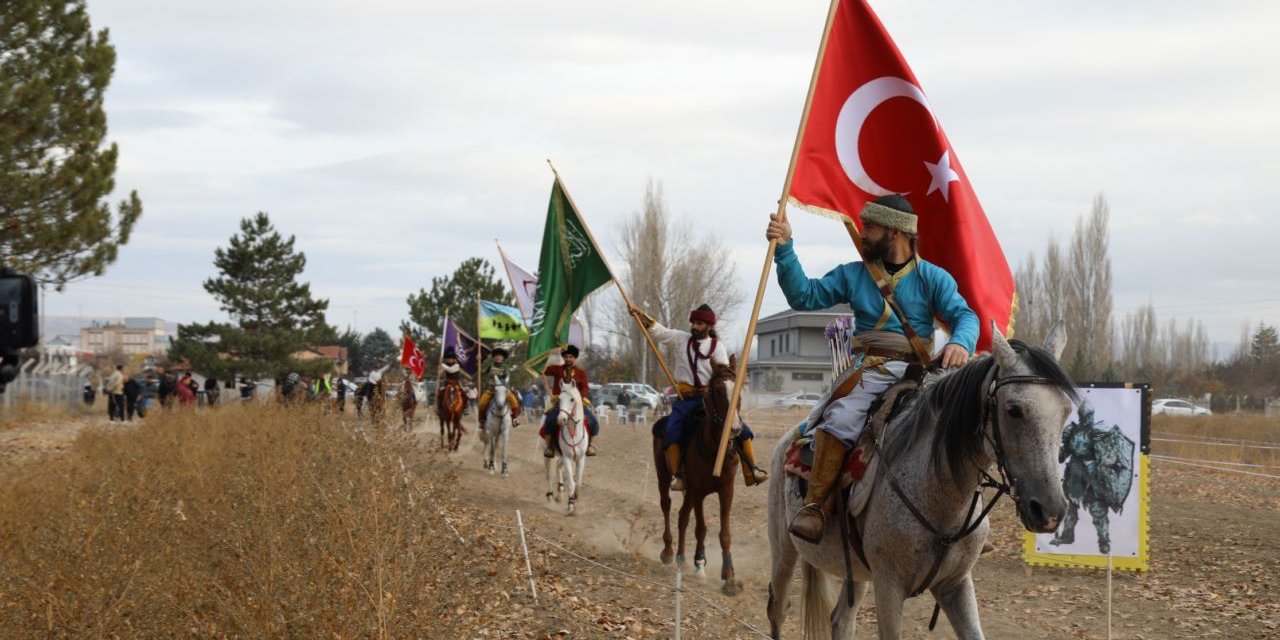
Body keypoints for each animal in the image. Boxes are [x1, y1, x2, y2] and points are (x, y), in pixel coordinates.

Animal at [542, 384, 591, 514]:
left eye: (572, 399)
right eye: (559, 399)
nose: (561, 419)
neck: (573, 433)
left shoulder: (580, 458)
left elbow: (578, 482)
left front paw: (575, 497)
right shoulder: (568, 458)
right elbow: (571, 482)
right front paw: (570, 505)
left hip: (562, 457)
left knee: (558, 466)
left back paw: (559, 493)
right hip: (548, 455)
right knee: (548, 474)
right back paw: (550, 497)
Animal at [655, 358, 747, 596]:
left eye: (739, 388)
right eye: (717, 390)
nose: (735, 428)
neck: (715, 448)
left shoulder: (726, 490)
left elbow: (724, 533)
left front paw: (729, 576)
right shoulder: (698, 491)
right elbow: (701, 528)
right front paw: (700, 565)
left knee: (682, 516)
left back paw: (682, 558)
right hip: (663, 475)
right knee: (667, 506)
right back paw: (669, 552)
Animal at [768, 325, 1080, 640]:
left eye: (1066, 411)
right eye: (1014, 409)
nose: (1050, 511)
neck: (941, 499)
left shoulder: (956, 584)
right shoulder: (889, 588)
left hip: (856, 571)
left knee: (840, 620)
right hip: (783, 551)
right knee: (778, 609)